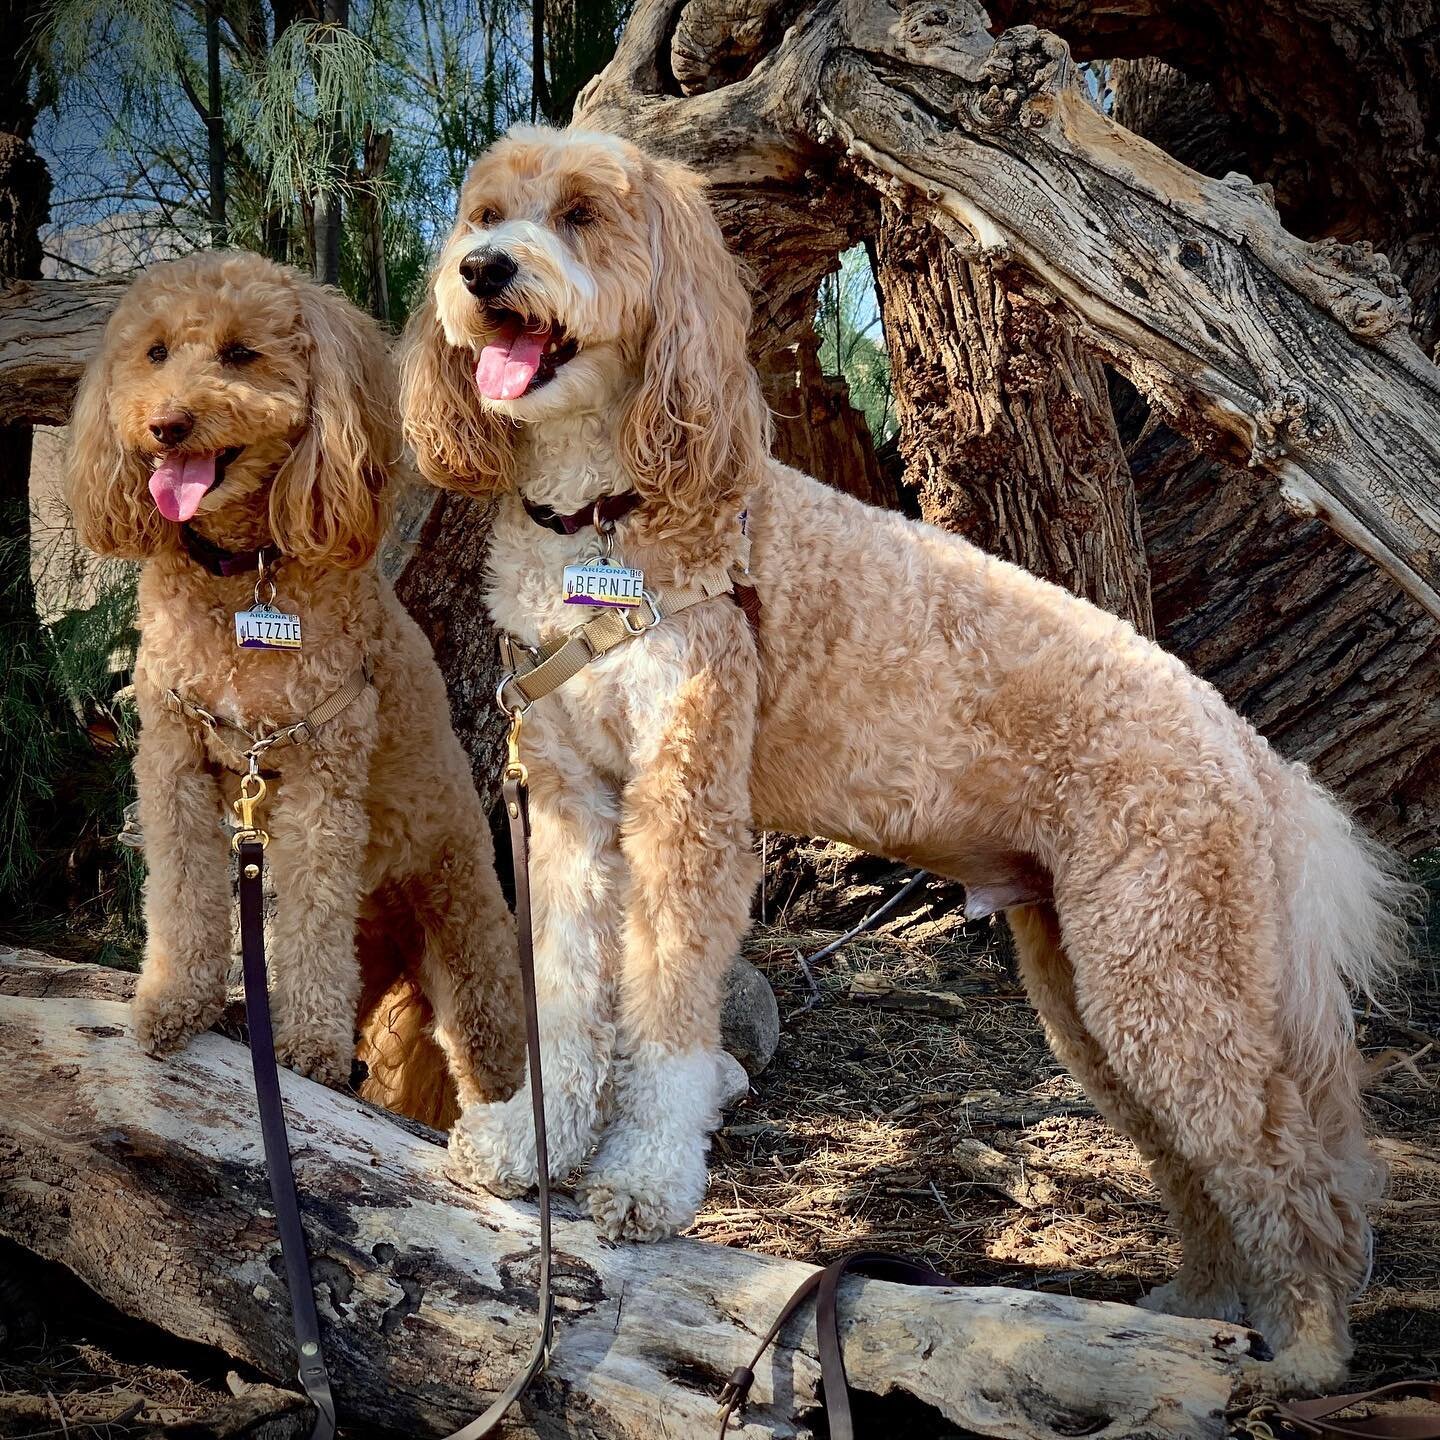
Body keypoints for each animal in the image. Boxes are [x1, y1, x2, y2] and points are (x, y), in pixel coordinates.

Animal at [68, 247, 524, 1123]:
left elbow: (310, 917)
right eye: (154, 352)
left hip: (469, 944)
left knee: (494, 1063)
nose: (166, 424)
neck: (244, 576)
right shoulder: (174, 761)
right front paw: (175, 1000)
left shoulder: (322, 771)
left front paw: (305, 1047)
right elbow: (184, 896)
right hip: (375, 948)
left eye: (241, 354)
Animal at [403, 126, 1416, 1393]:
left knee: (1284, 1164)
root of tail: (1250, 751)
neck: (603, 523)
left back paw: (1311, 1349)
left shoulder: (690, 812)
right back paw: (1196, 1307)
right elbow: (568, 995)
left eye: (583, 214)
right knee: (1201, 1167)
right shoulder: (574, 809)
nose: (482, 271)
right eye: (484, 214)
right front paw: (525, 1139)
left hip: (1167, 971)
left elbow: (668, 1012)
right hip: (1094, 989)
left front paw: (641, 1179)